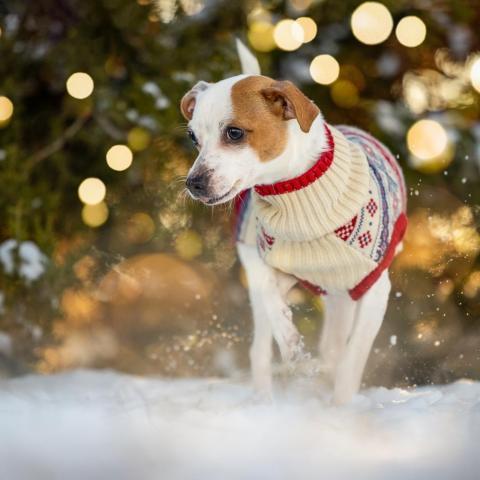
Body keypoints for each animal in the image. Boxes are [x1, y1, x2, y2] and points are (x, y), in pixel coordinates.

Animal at [182, 41, 406, 404]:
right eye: (193, 138)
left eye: (234, 133)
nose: (194, 183)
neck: (298, 194)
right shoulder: (269, 265)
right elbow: (272, 299)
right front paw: (292, 346)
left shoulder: (373, 288)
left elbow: (352, 358)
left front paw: (340, 408)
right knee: (261, 346)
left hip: (342, 295)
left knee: (334, 347)